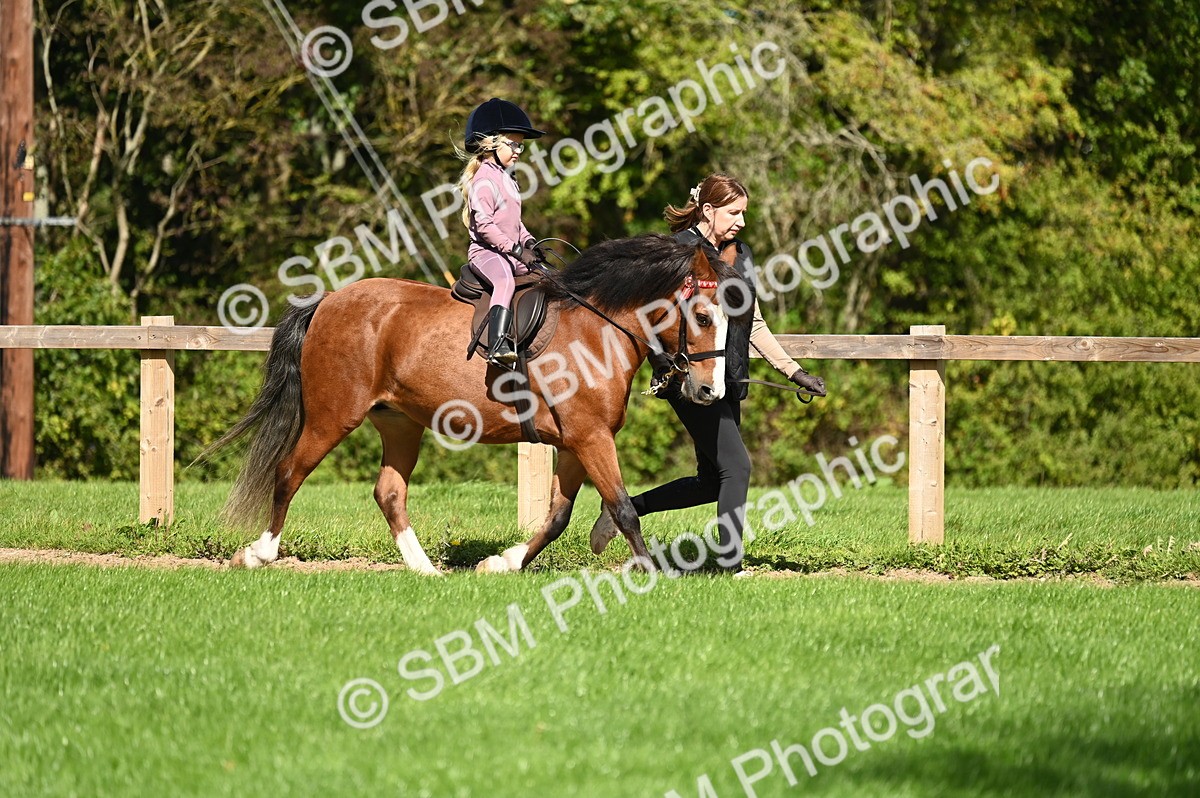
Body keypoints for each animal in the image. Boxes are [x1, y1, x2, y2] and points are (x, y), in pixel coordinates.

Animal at [204, 233, 742, 574]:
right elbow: (624, 507)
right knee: (288, 472)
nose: (710, 392)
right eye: (701, 316)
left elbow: (558, 517)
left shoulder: (576, 443)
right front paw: (649, 572)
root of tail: (330, 300)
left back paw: (424, 569)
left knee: (389, 492)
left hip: (400, 424)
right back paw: (258, 554)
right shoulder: (591, 438)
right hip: (331, 416)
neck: (598, 329)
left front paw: (503, 562)